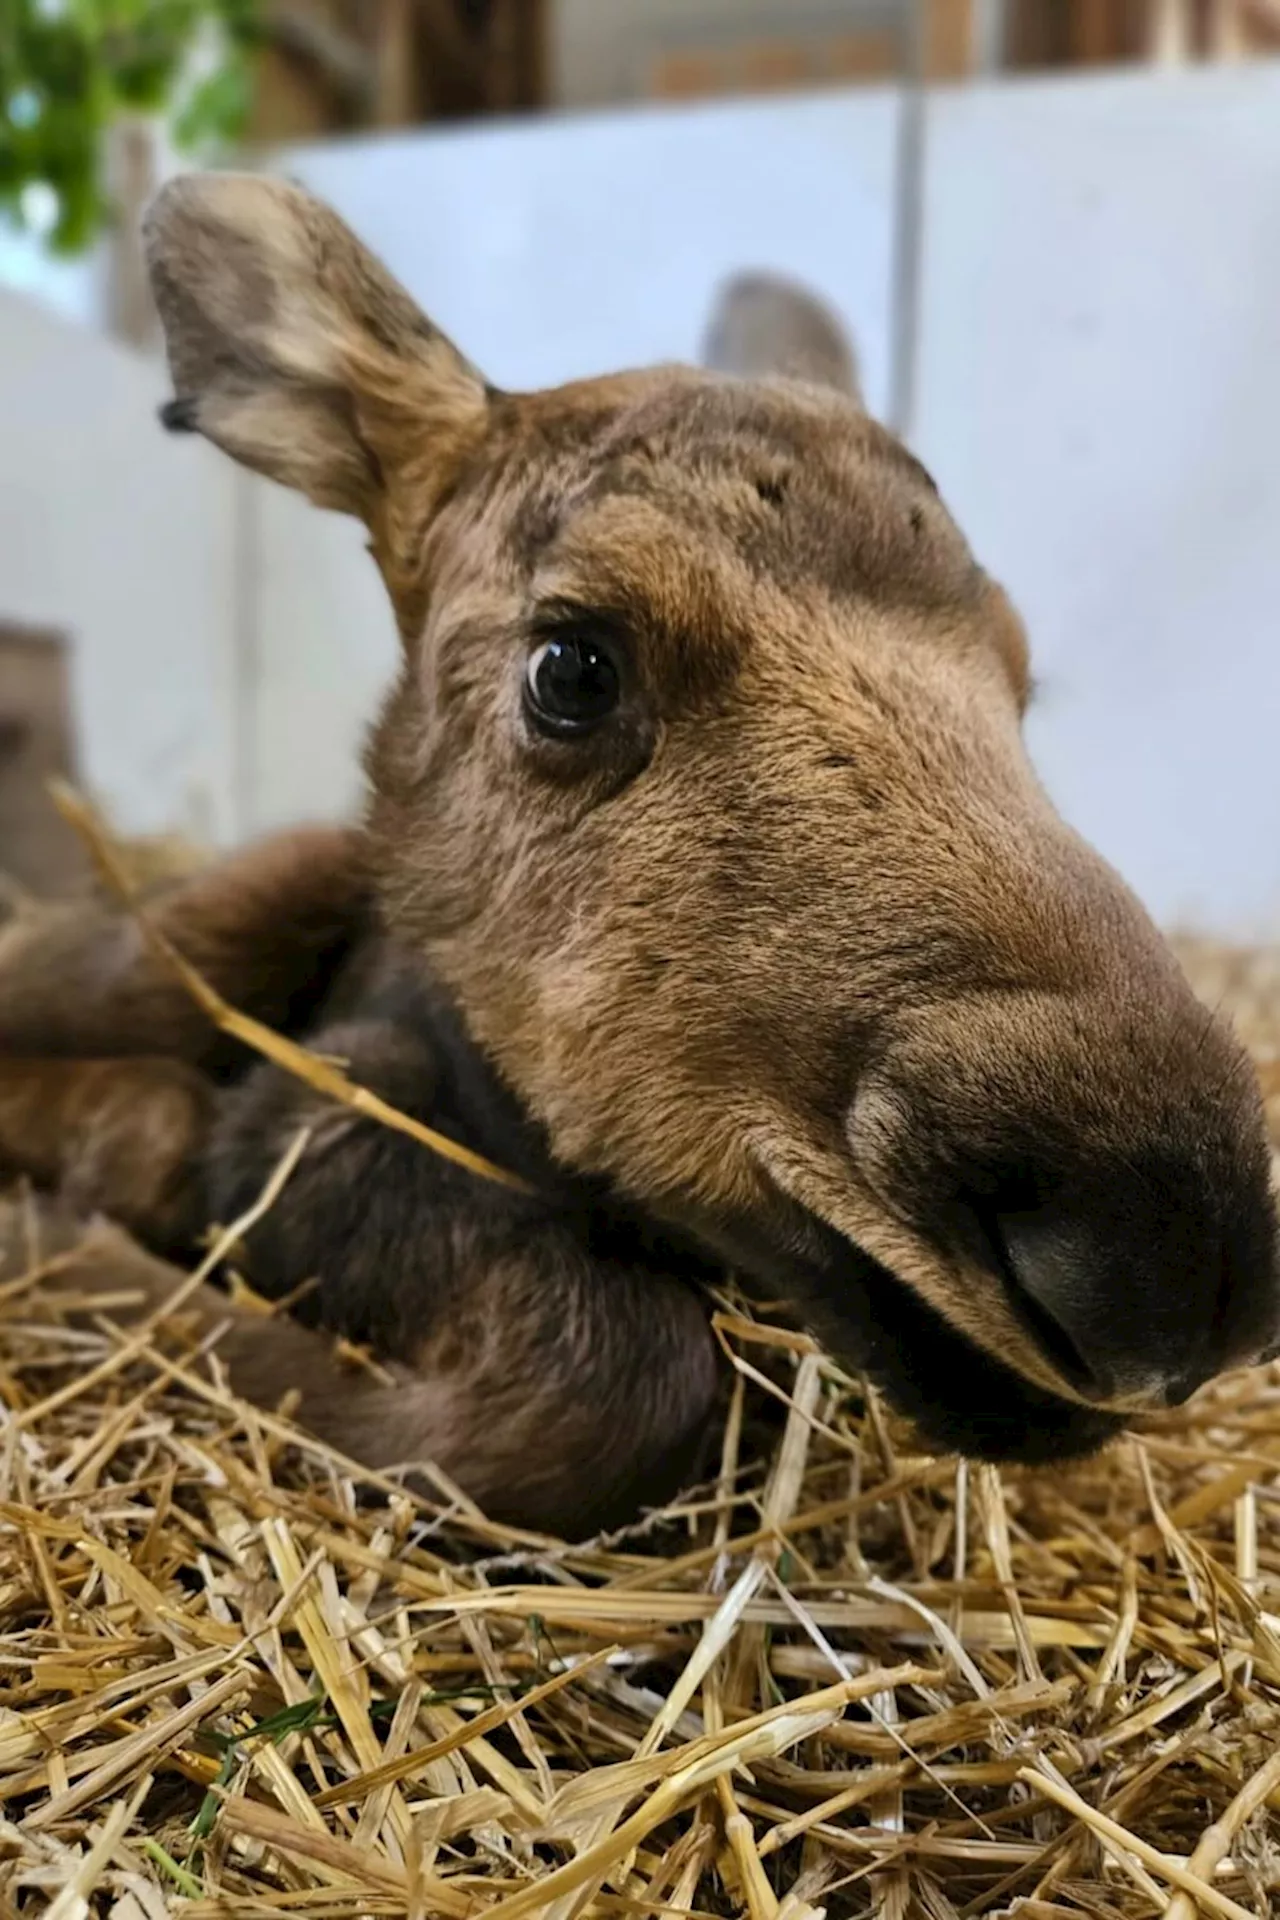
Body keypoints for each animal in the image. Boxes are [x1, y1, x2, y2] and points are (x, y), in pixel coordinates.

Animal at [0, 172, 1274, 1536]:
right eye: (572, 666)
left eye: (1019, 680)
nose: (1172, 1254)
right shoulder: (312, 1108)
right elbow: (606, 1384)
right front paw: (65, 1247)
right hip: (167, 942)